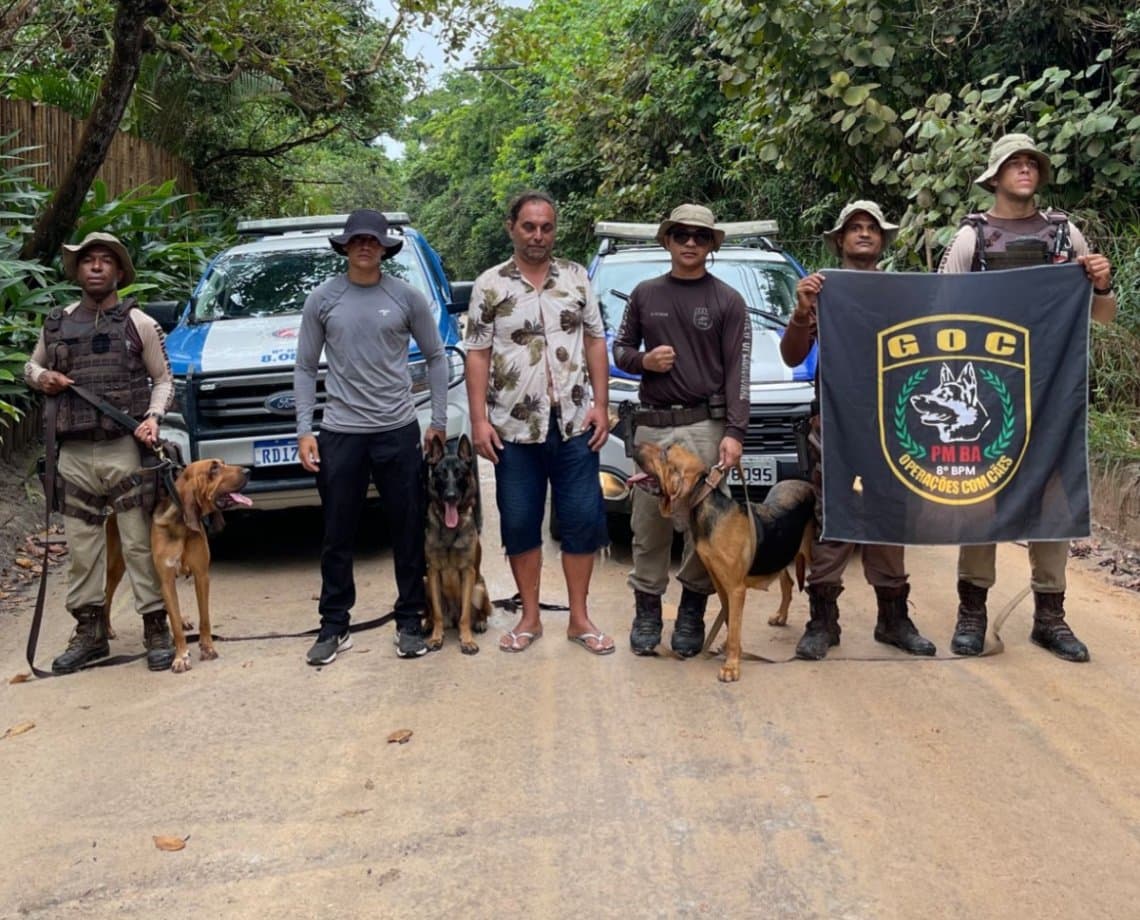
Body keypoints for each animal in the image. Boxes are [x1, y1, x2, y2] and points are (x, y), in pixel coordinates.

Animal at [106, 458, 249, 670]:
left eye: (223, 463)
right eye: (214, 468)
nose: (248, 471)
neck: (181, 526)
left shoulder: (201, 576)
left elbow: (204, 618)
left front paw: (207, 647)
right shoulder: (166, 580)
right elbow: (174, 623)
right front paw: (181, 656)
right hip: (117, 566)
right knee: (106, 596)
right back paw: (106, 629)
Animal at [421, 433, 487, 656]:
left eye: (459, 473)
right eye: (441, 474)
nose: (451, 496)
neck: (450, 529)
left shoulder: (468, 572)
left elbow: (466, 614)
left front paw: (467, 640)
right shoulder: (432, 572)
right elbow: (438, 614)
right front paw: (436, 637)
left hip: (480, 587)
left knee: (477, 612)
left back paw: (480, 622)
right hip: (425, 582)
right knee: (433, 612)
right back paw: (427, 624)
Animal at [629, 440, 816, 684]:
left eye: (665, 453)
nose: (633, 444)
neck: (707, 507)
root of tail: (806, 484)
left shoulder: (736, 589)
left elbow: (735, 626)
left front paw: (731, 666)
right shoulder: (720, 583)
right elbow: (728, 619)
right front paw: (729, 649)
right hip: (781, 553)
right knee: (788, 582)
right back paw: (781, 616)